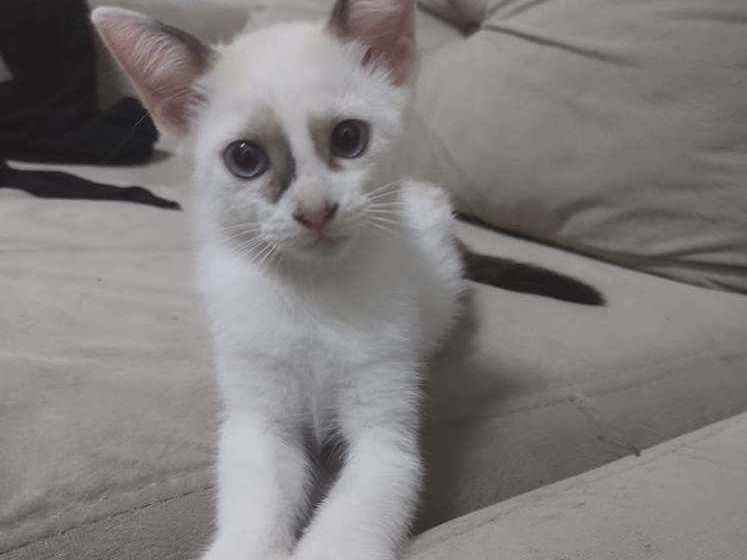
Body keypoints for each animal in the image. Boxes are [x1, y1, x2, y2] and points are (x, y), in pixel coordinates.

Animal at [92, 2, 602, 559]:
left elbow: (348, 524)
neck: (314, 294)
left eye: (349, 138)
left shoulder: (385, 440)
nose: (315, 211)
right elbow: (255, 511)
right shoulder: (258, 424)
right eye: (245, 158)